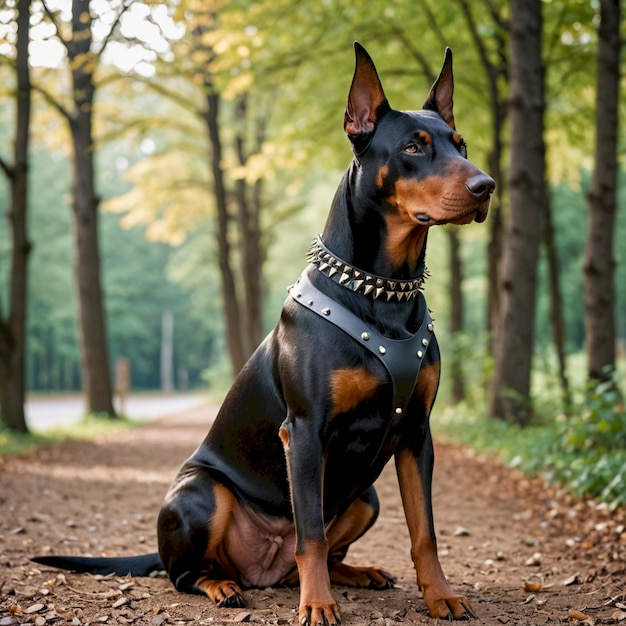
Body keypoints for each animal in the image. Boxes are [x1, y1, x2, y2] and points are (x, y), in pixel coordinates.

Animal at [33, 42, 492, 620]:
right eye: (414, 146)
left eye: (461, 143)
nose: (486, 186)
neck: (383, 291)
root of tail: (263, 567)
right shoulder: (306, 430)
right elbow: (310, 533)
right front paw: (317, 606)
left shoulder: (415, 434)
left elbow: (424, 531)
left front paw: (441, 595)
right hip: (201, 493)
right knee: (187, 573)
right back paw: (224, 586)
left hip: (365, 496)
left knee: (320, 550)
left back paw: (355, 573)